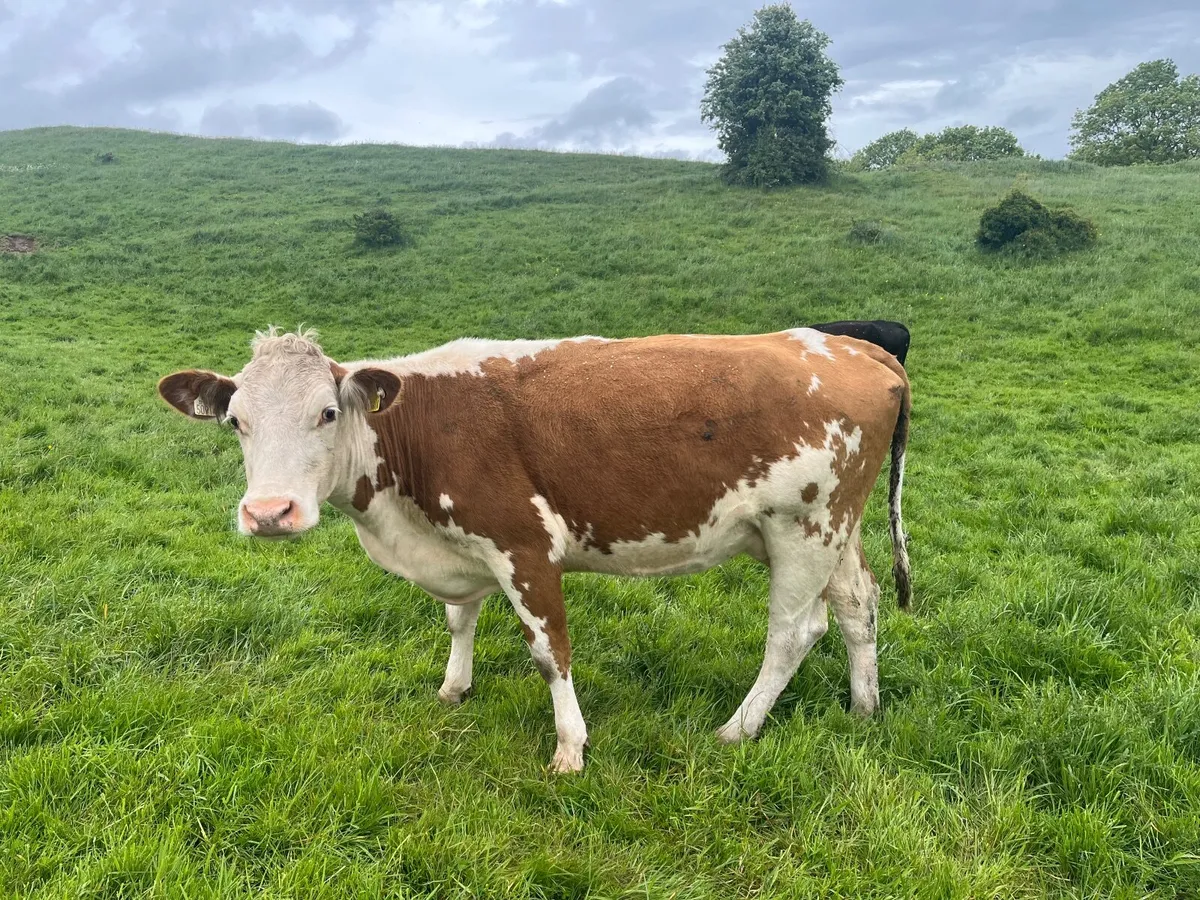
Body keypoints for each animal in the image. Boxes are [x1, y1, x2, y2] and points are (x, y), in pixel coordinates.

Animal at [157, 327, 912, 773]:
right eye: (235, 421)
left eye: (327, 412)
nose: (269, 513)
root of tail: (852, 345)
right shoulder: (463, 549)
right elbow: (459, 618)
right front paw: (454, 687)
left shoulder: (524, 546)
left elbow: (551, 653)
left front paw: (570, 749)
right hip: (836, 527)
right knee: (858, 608)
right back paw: (864, 708)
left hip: (803, 525)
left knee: (793, 632)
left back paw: (738, 729)